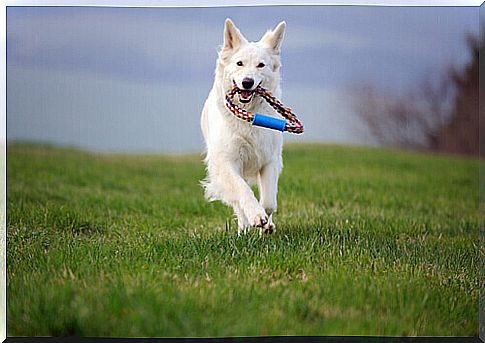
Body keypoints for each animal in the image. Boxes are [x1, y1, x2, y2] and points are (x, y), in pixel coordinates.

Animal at [199, 18, 286, 234]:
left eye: (260, 65)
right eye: (239, 63)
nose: (247, 82)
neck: (249, 116)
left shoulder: (270, 160)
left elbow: (269, 202)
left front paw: (266, 223)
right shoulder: (226, 163)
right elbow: (242, 191)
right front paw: (255, 216)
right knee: (238, 201)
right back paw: (244, 227)